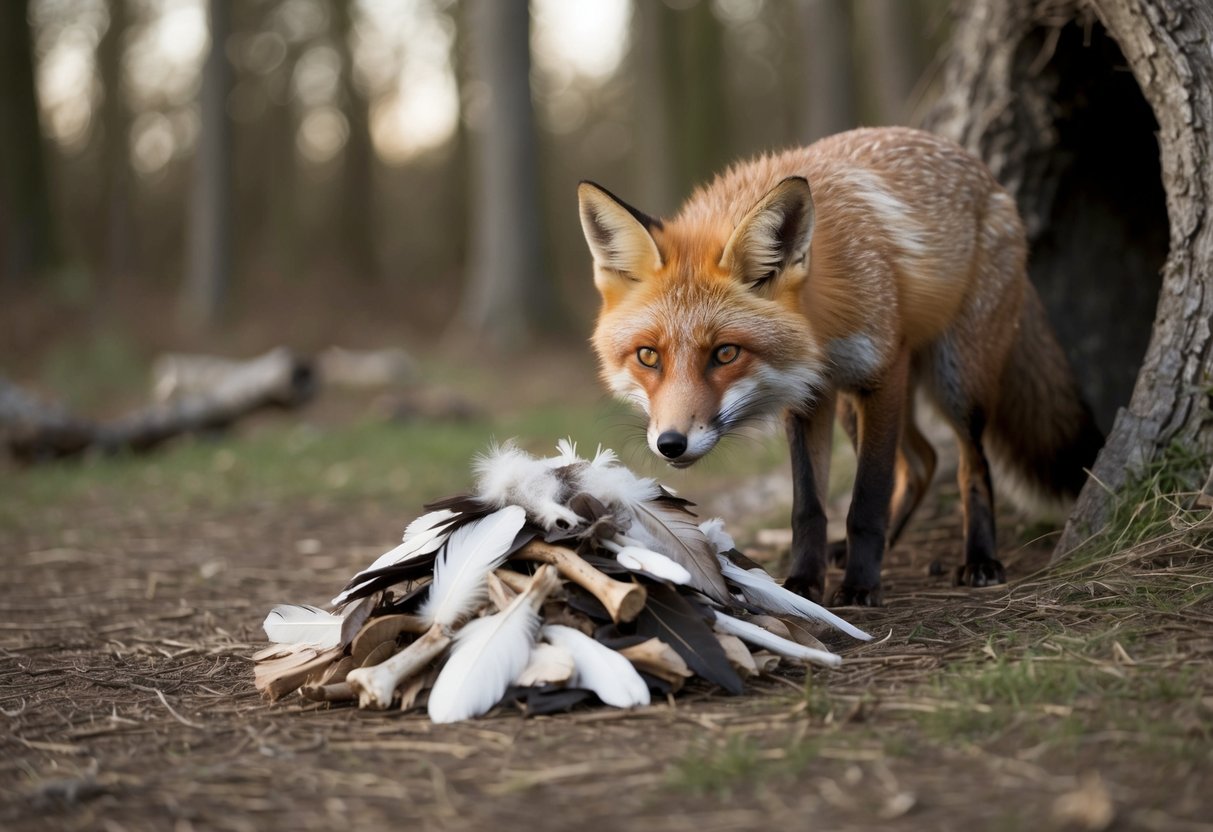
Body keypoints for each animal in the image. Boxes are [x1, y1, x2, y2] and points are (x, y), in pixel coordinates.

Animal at [578, 126, 1104, 606]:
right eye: (648, 356)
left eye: (725, 353)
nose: (671, 444)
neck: (819, 340)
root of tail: (993, 184)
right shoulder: (807, 396)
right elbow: (808, 508)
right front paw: (804, 583)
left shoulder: (882, 374)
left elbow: (867, 499)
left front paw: (860, 587)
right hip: (858, 406)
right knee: (922, 462)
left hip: (956, 381)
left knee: (969, 466)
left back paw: (979, 560)